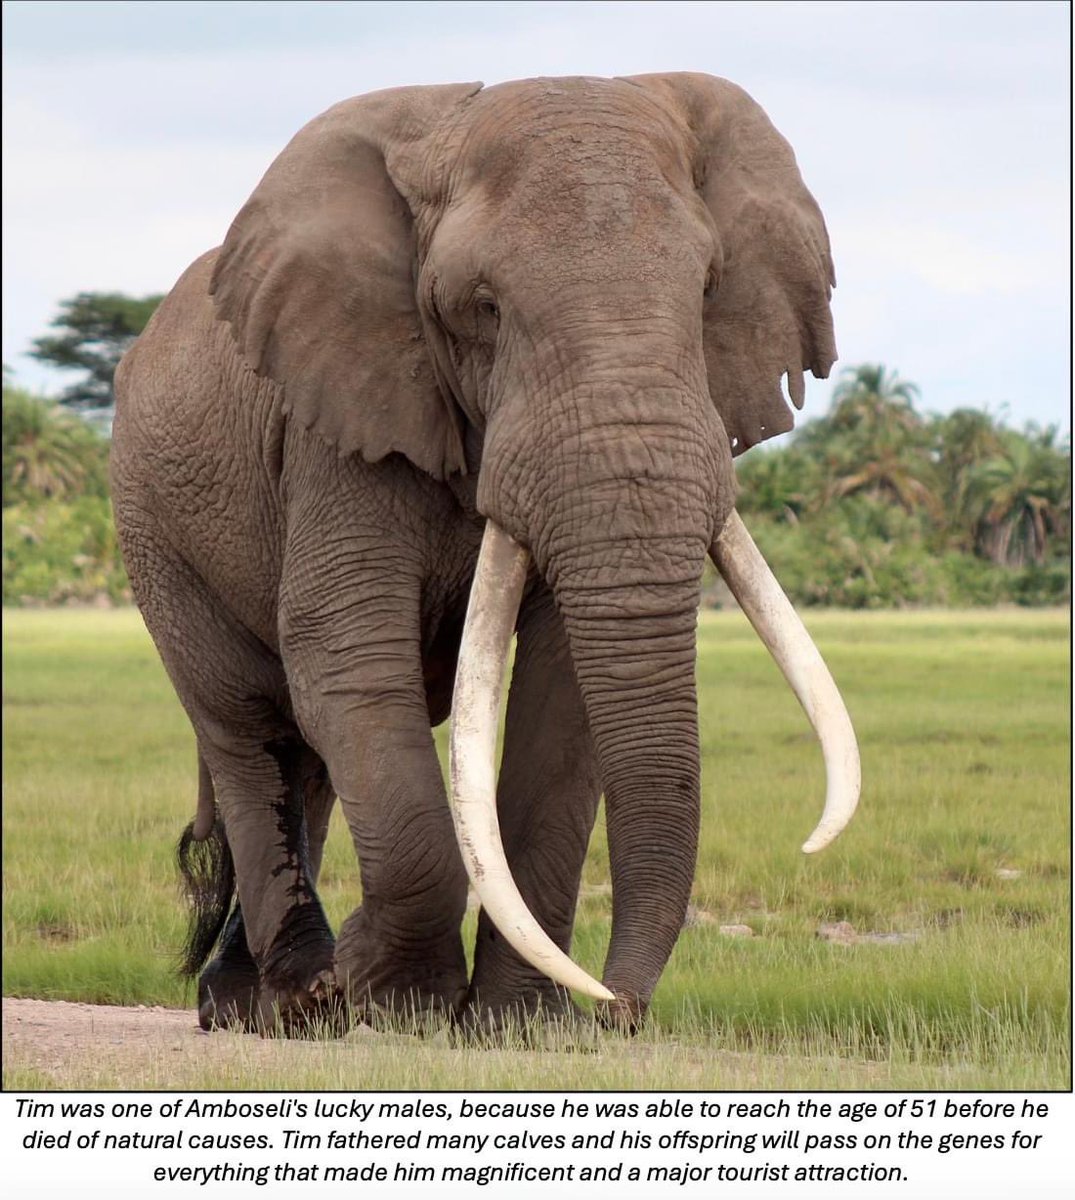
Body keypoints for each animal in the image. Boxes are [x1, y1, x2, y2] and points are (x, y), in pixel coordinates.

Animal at [111, 72, 859, 1036]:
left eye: (706, 291)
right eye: (483, 310)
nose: (618, 1010)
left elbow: (561, 689)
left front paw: (519, 1026)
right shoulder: (341, 418)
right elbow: (347, 651)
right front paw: (398, 1003)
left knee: (303, 759)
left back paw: (268, 1006)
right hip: (151, 528)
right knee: (250, 726)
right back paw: (299, 999)